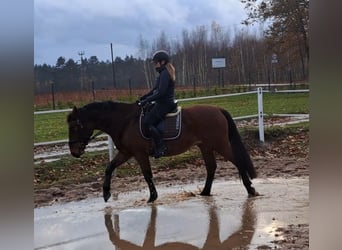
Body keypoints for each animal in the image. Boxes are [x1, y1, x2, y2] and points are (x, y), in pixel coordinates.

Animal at [67, 100, 258, 202]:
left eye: (75, 126)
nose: (74, 151)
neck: (125, 121)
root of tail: (217, 109)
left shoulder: (139, 153)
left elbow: (147, 174)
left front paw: (152, 197)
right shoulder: (126, 153)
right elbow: (109, 168)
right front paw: (106, 193)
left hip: (220, 145)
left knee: (238, 162)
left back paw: (250, 190)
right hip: (205, 146)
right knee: (211, 167)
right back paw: (205, 192)